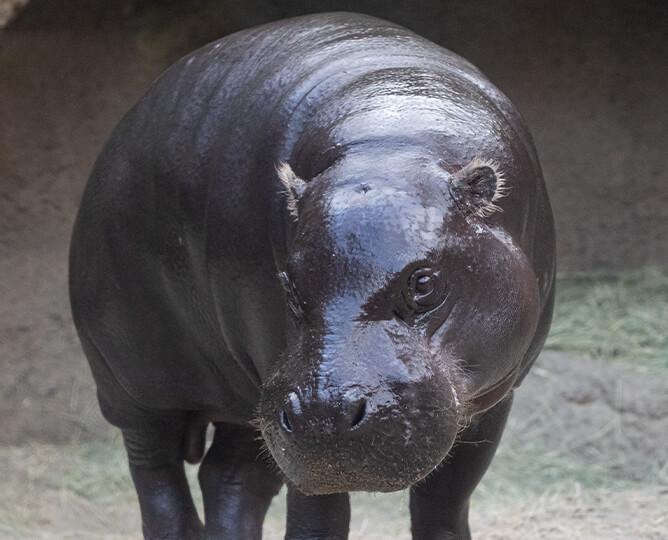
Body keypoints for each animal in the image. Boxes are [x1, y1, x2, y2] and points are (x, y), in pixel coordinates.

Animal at [69, 11, 555, 540]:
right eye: (288, 284)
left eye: (424, 283)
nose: (325, 414)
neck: (393, 140)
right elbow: (316, 517)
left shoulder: (493, 396)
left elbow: (444, 504)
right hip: (133, 382)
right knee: (156, 478)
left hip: (249, 403)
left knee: (229, 479)